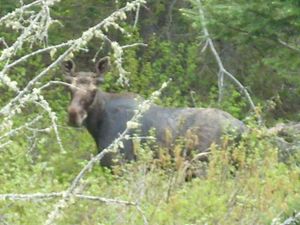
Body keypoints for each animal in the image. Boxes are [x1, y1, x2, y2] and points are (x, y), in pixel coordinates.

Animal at [62, 57, 245, 168]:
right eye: (69, 88)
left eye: (93, 90)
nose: (73, 115)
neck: (98, 125)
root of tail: (244, 129)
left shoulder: (120, 163)